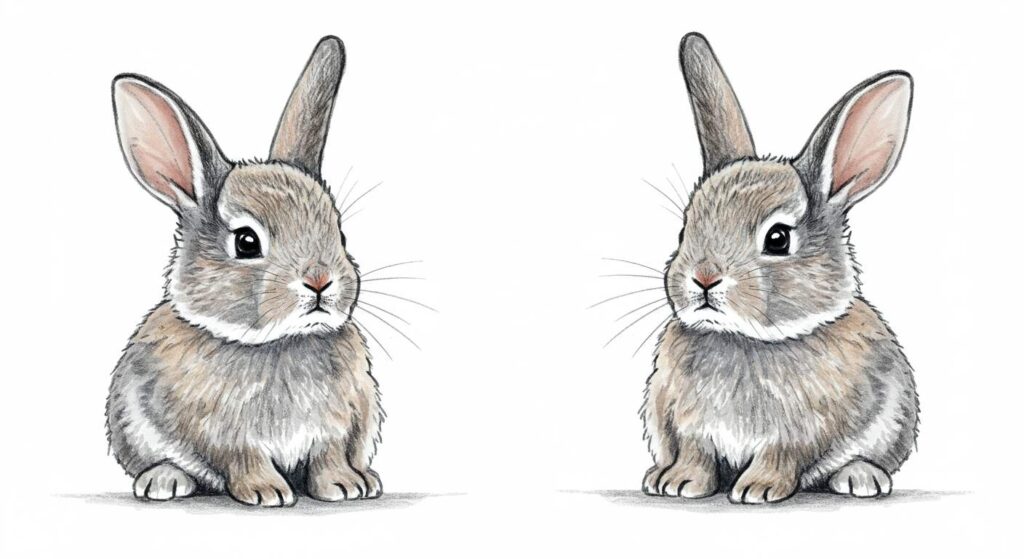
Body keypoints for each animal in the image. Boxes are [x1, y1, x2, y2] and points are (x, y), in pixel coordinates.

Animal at [105, 36, 385, 506]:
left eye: (340, 233)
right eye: (246, 242)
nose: (320, 281)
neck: (280, 342)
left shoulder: (337, 425)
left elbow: (328, 457)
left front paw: (345, 486)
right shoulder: (223, 436)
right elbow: (242, 459)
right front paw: (266, 492)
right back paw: (163, 481)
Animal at [639, 33, 919, 504]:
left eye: (778, 239)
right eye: (684, 230)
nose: (704, 278)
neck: (744, 339)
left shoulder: (800, 434)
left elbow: (782, 456)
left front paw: (759, 489)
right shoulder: (687, 424)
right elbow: (696, 455)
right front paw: (679, 483)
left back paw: (861, 478)